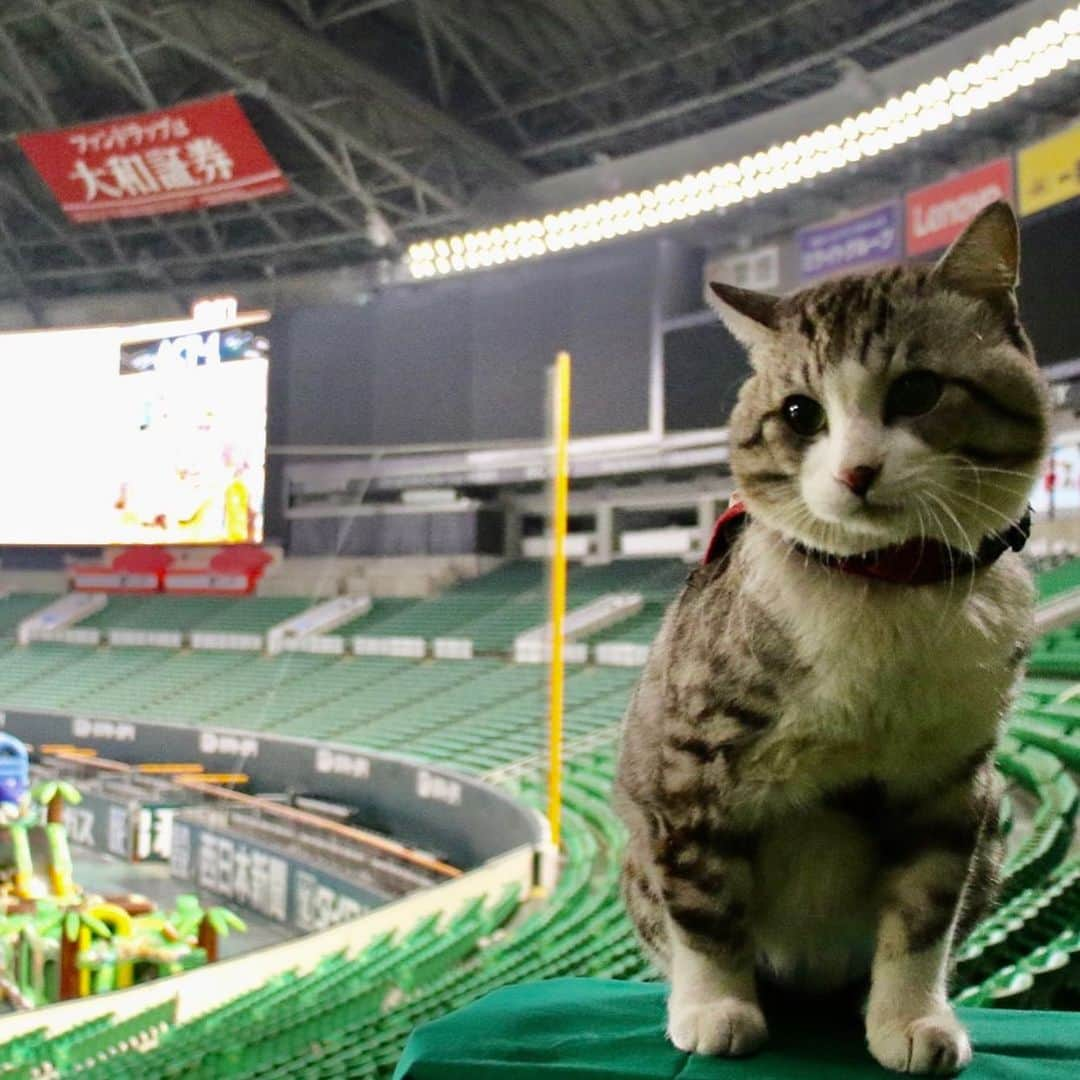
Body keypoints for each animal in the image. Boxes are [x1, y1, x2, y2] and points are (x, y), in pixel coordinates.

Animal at [617, 203, 1045, 1071]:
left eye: (918, 390)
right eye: (798, 413)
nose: (856, 471)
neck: (886, 589)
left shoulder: (953, 782)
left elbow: (923, 916)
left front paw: (909, 1018)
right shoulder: (689, 766)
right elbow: (705, 907)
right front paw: (715, 1008)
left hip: (991, 836)